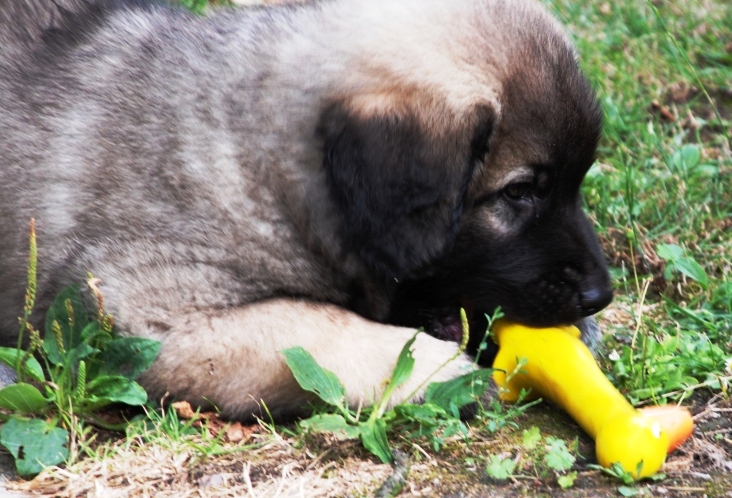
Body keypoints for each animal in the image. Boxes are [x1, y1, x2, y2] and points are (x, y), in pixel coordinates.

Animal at [0, 0, 612, 420]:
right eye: (519, 192)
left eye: (574, 184)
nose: (599, 296)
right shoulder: (131, 309)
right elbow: (312, 325)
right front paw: (431, 367)